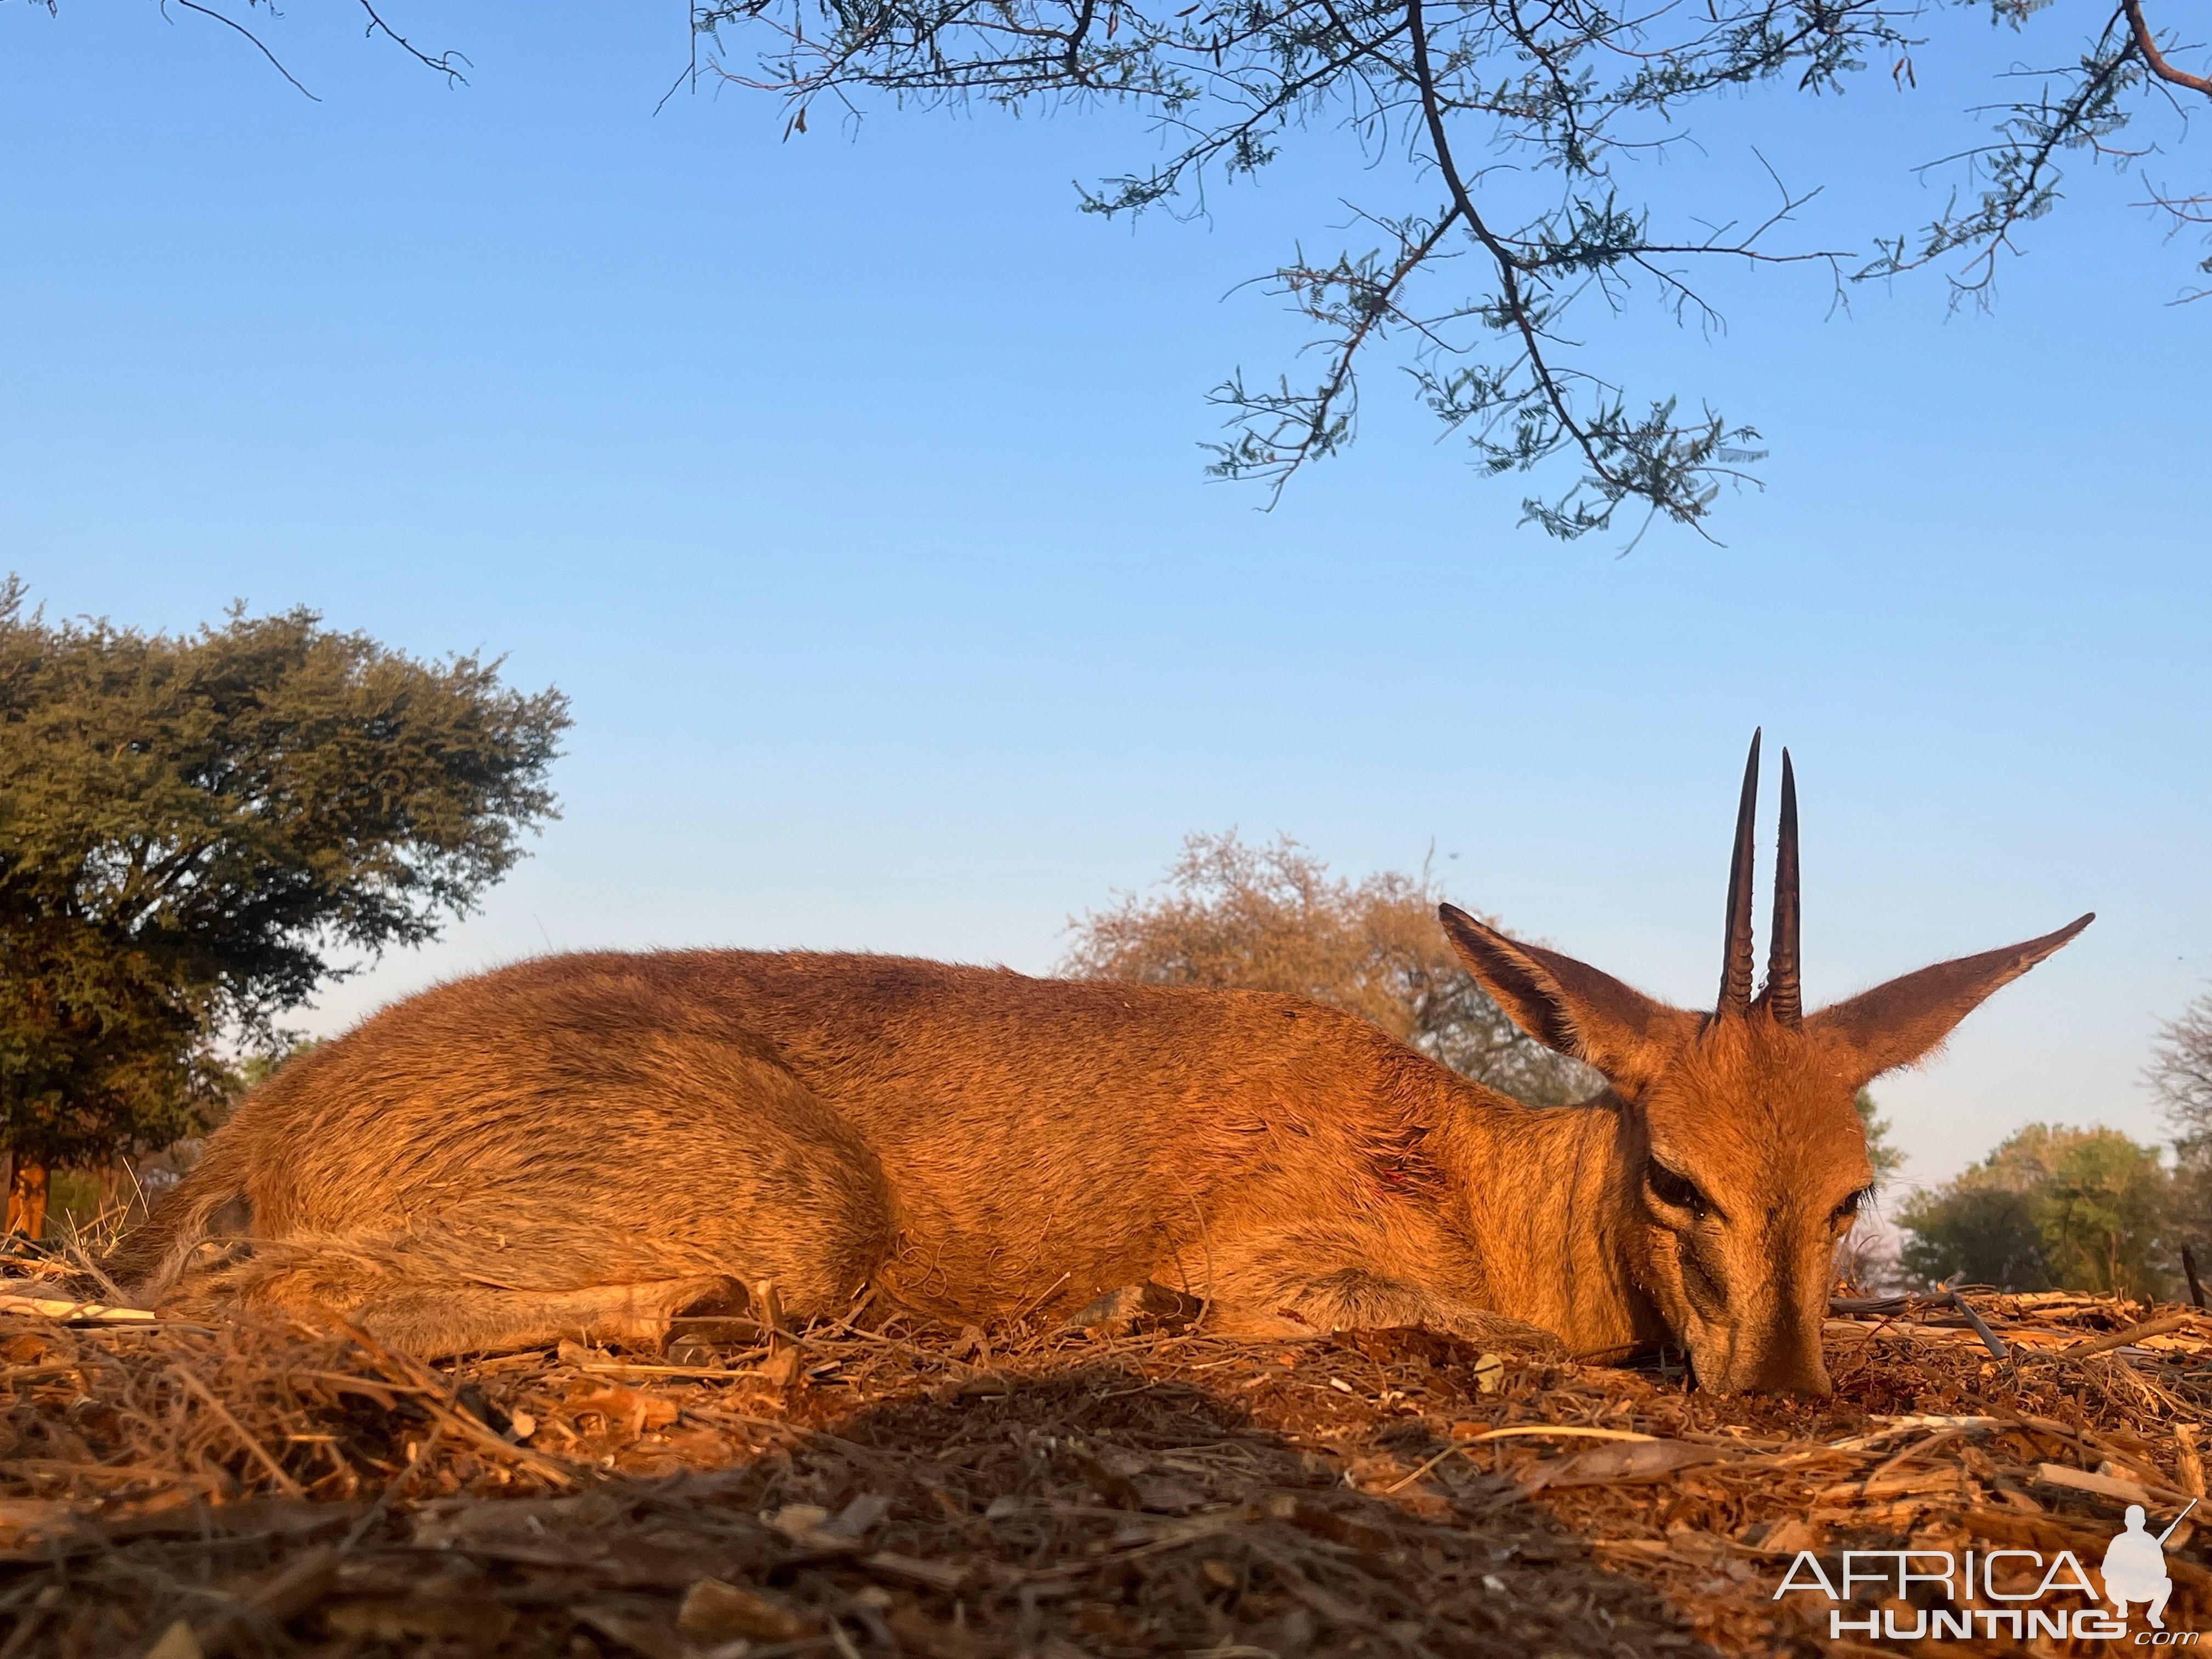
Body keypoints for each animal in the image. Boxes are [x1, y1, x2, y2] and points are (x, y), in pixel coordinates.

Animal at [116, 734, 2088, 1398]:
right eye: (1674, 1170)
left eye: (1850, 1193)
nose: (1784, 1390)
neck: (1465, 1167)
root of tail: (262, 1131)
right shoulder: (1294, 1271)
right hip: (784, 1221)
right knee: (264, 1305)